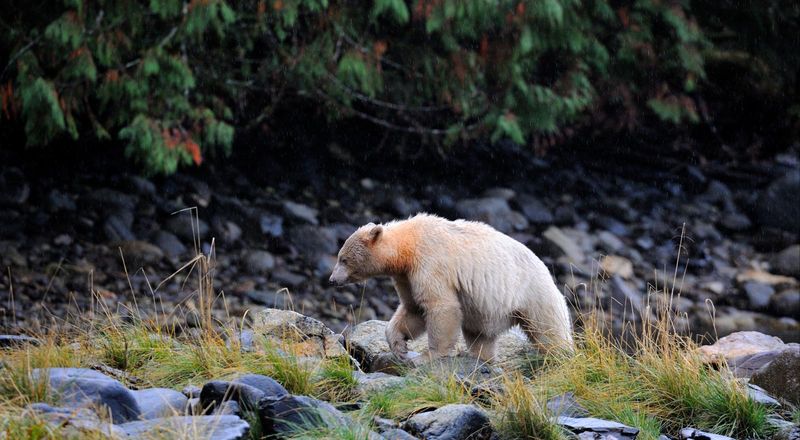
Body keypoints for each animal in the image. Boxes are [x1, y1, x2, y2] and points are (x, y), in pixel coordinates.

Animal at [328, 213, 572, 360]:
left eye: (343, 259)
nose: (332, 279)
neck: (408, 246)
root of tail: (547, 272)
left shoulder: (431, 262)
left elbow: (440, 306)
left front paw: (430, 356)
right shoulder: (406, 276)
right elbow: (413, 308)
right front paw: (399, 346)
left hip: (533, 295)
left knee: (549, 332)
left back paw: (561, 356)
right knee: (480, 338)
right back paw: (484, 359)